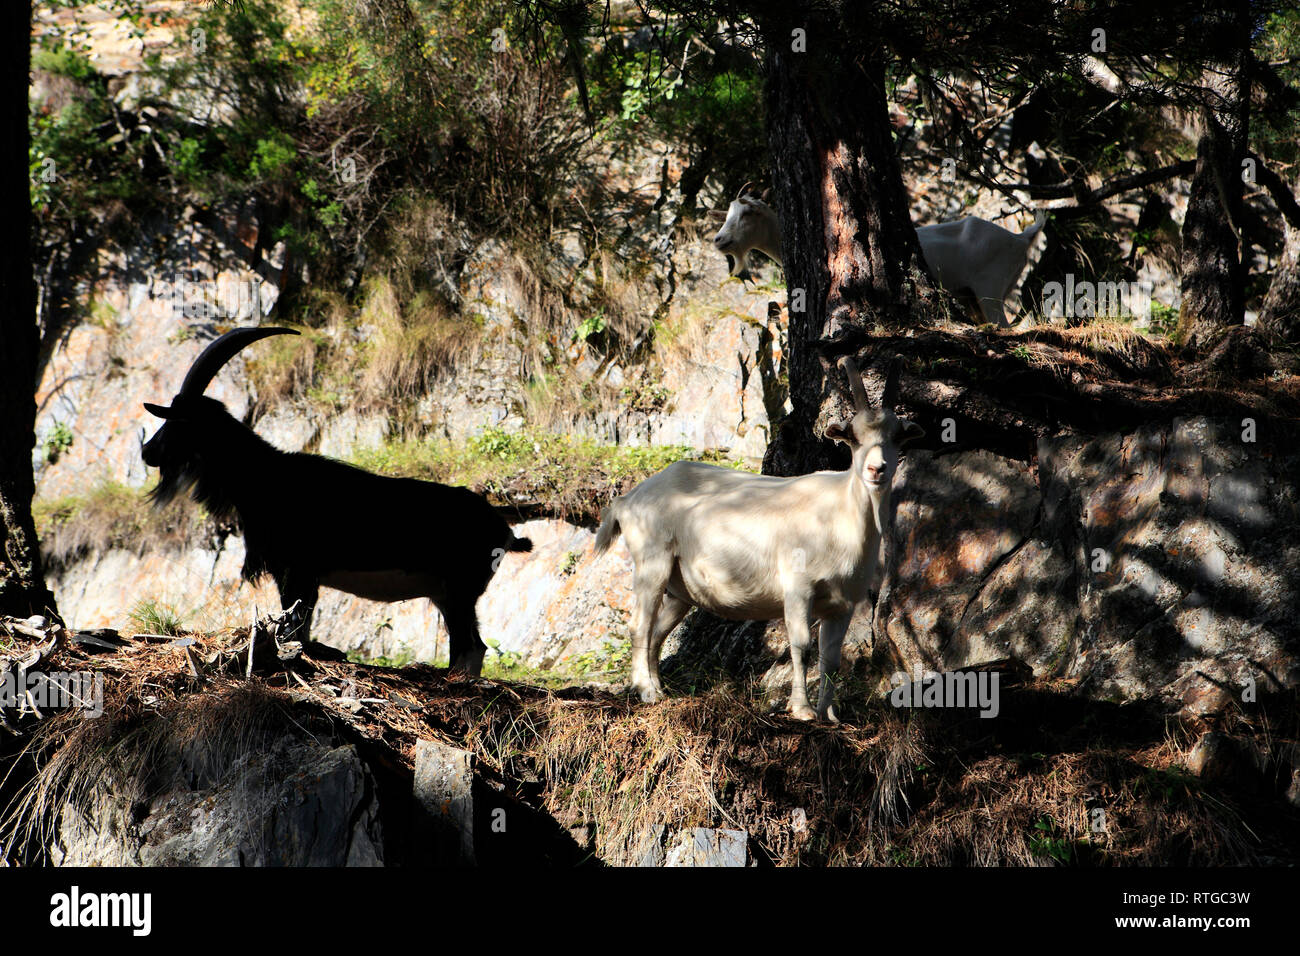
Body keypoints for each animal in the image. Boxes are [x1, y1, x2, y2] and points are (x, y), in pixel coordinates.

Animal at [598, 356, 925, 723]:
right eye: (853, 437)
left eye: (897, 436)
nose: (876, 469)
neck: (840, 514)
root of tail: (628, 499)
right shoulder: (798, 587)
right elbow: (801, 645)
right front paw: (802, 709)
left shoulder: (842, 604)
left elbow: (831, 658)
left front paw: (830, 715)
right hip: (651, 560)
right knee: (639, 625)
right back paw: (647, 691)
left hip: (680, 589)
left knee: (656, 632)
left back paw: (659, 688)